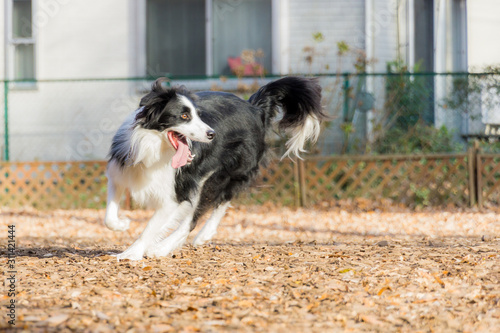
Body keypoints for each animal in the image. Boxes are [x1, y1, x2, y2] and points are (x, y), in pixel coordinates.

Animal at [103, 76, 326, 260]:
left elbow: (151, 225)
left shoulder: (176, 192)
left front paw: (132, 252)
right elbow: (108, 217)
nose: (212, 134)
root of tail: (255, 108)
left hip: (221, 174)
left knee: (205, 210)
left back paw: (171, 245)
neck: (153, 146)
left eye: (199, 115)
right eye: (184, 116)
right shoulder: (119, 174)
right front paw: (122, 224)